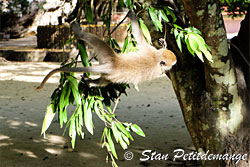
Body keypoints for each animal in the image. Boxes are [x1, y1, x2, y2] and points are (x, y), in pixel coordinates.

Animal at [36, 11, 178, 90]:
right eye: (172, 65)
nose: (172, 67)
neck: (156, 58)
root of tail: (113, 65)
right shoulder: (151, 53)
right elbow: (140, 36)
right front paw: (132, 15)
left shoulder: (152, 53)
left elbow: (139, 37)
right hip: (108, 56)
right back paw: (79, 32)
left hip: (106, 57)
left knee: (103, 79)